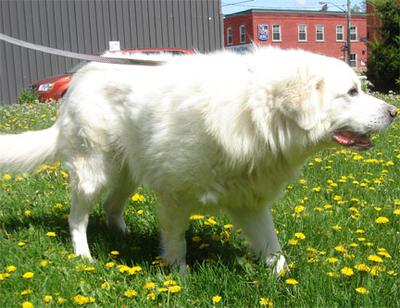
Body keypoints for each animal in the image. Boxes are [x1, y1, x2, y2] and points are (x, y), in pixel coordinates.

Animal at [0, 47, 396, 274]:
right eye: (352, 92)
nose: (394, 111)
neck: (252, 113)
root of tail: (81, 76)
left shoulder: (250, 203)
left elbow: (274, 249)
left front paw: (283, 280)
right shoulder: (176, 197)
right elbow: (178, 245)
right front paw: (180, 279)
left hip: (126, 173)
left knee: (112, 208)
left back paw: (123, 237)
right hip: (93, 171)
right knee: (77, 219)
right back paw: (84, 256)